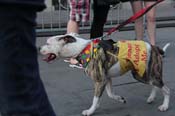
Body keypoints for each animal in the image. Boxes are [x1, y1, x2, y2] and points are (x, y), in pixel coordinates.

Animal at [40, 32, 171, 116]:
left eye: (48, 43)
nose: (40, 48)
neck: (81, 49)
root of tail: (154, 47)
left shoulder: (100, 80)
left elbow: (95, 98)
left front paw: (90, 111)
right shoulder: (106, 78)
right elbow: (110, 94)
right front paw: (120, 99)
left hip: (145, 73)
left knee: (166, 88)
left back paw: (164, 106)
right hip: (142, 74)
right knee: (155, 85)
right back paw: (151, 98)